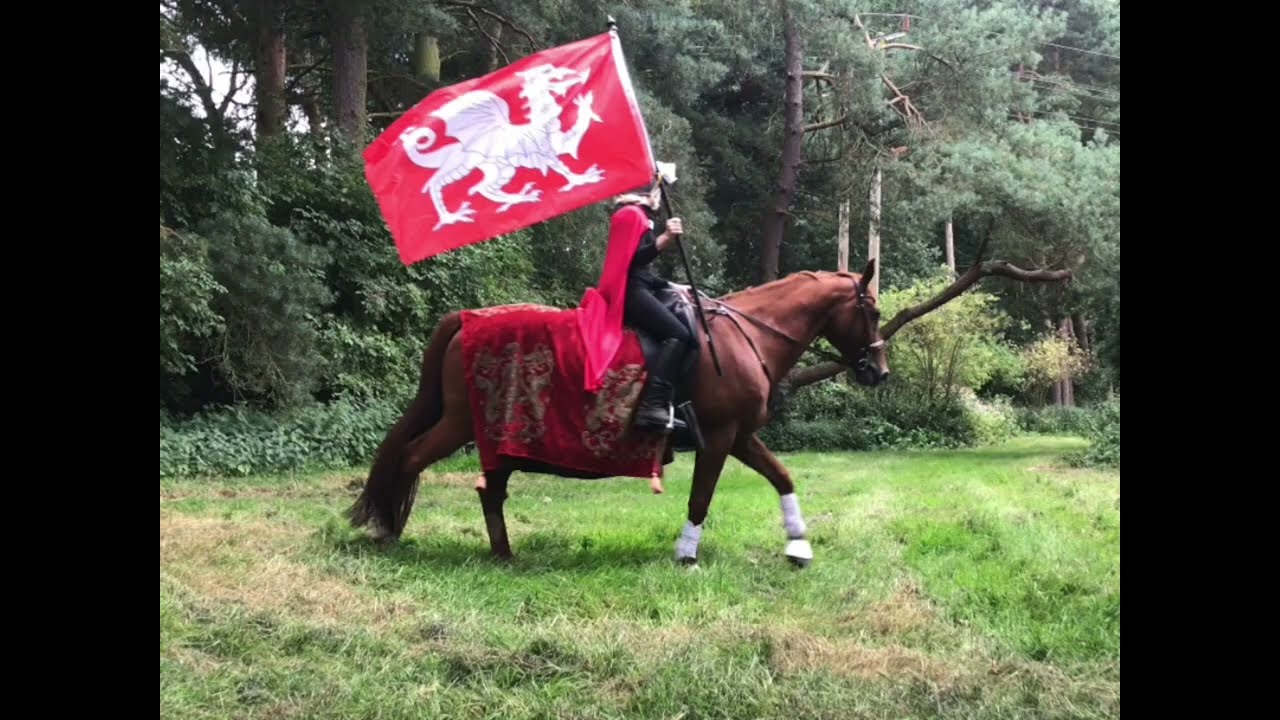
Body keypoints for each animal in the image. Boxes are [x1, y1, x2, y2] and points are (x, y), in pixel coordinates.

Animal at [347, 260, 890, 567]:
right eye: (874, 310)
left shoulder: (738, 436)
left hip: (495, 432)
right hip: (461, 423)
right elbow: (701, 498)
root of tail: (466, 320)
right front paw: (686, 555)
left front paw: (798, 547)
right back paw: (389, 532)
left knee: (490, 489)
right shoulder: (719, 436)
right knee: (412, 458)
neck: (746, 335)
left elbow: (782, 477)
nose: (879, 371)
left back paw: (502, 555)